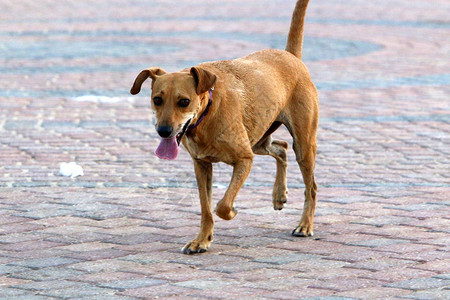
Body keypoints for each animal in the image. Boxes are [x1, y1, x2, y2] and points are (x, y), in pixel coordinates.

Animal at [131, 0, 320, 254]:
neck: (207, 115)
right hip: (259, 138)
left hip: (303, 144)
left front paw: (232, 212)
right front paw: (201, 240)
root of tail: (291, 56)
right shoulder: (201, 166)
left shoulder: (244, 159)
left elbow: (222, 205)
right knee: (281, 148)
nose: (164, 131)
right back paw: (279, 195)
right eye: (157, 99)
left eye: (184, 101)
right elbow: (206, 208)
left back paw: (305, 225)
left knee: (311, 187)